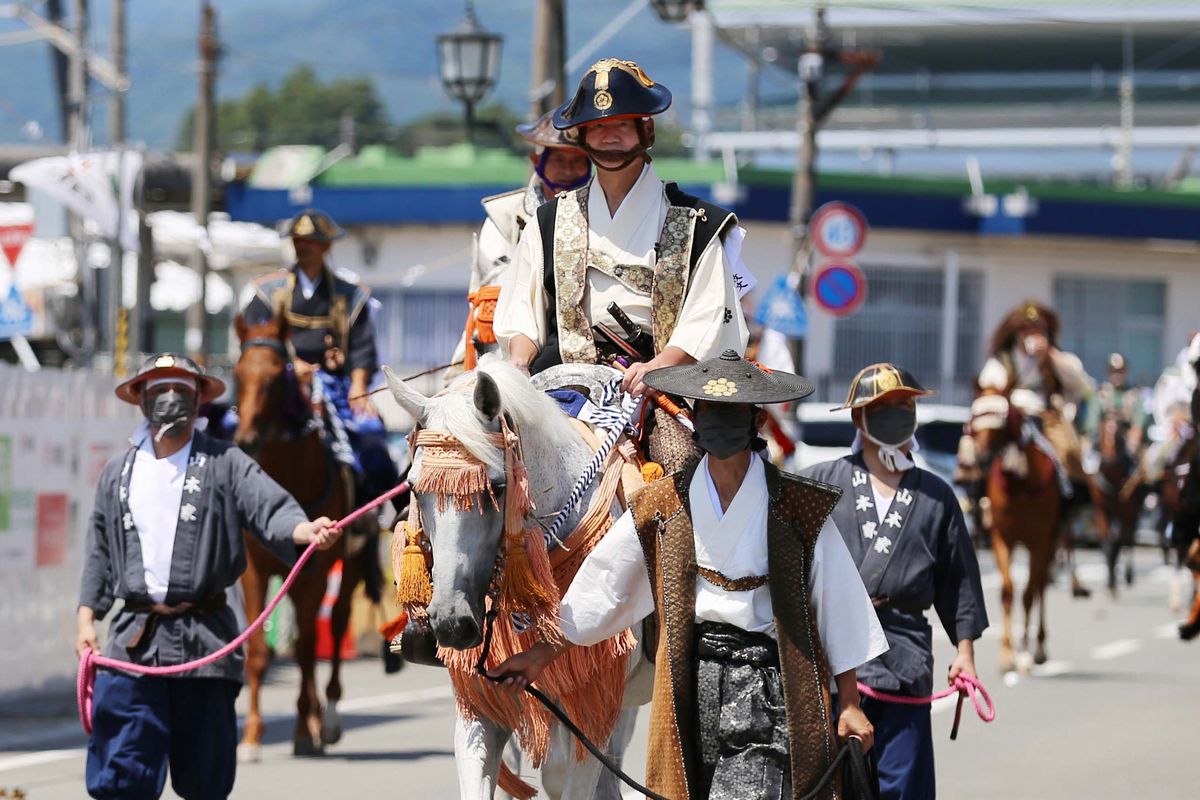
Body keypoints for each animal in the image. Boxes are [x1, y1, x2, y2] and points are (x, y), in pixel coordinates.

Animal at [232, 316, 360, 762]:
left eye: (276, 377)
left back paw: (328, 718)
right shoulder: (254, 569)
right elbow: (257, 651)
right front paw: (252, 736)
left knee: (336, 624)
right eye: (237, 374)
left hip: (351, 563)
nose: (247, 441)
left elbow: (306, 648)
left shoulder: (316, 569)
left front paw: (304, 728)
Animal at [384, 359, 652, 800]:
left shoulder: (592, 708)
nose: (451, 623)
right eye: (413, 486)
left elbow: (567, 778)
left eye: (496, 486)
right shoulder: (482, 705)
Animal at [969, 388, 1065, 671]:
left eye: (1002, 421)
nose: (981, 458)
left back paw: (1038, 648)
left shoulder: (1039, 541)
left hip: (1051, 540)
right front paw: (1006, 655)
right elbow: (1008, 591)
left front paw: (1023, 651)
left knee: (1041, 586)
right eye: (974, 417)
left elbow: (1029, 594)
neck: (1019, 484)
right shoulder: (1002, 537)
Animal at [1089, 412, 1142, 594]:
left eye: (1119, 435)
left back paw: (1129, 574)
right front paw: (1110, 580)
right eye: (1100, 432)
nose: (1108, 460)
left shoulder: (1128, 512)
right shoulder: (1101, 511)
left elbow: (1120, 540)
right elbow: (1107, 542)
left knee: (1129, 539)